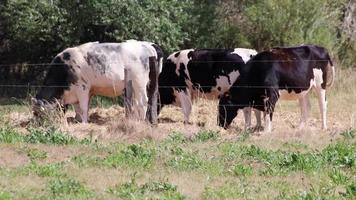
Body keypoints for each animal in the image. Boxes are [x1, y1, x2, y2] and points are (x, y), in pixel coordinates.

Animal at [31, 39, 163, 122]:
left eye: (38, 114)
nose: (37, 126)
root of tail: (149, 45)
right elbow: (78, 108)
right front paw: (77, 120)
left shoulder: (82, 88)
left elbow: (83, 107)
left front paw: (84, 122)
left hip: (139, 82)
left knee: (143, 102)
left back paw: (140, 120)